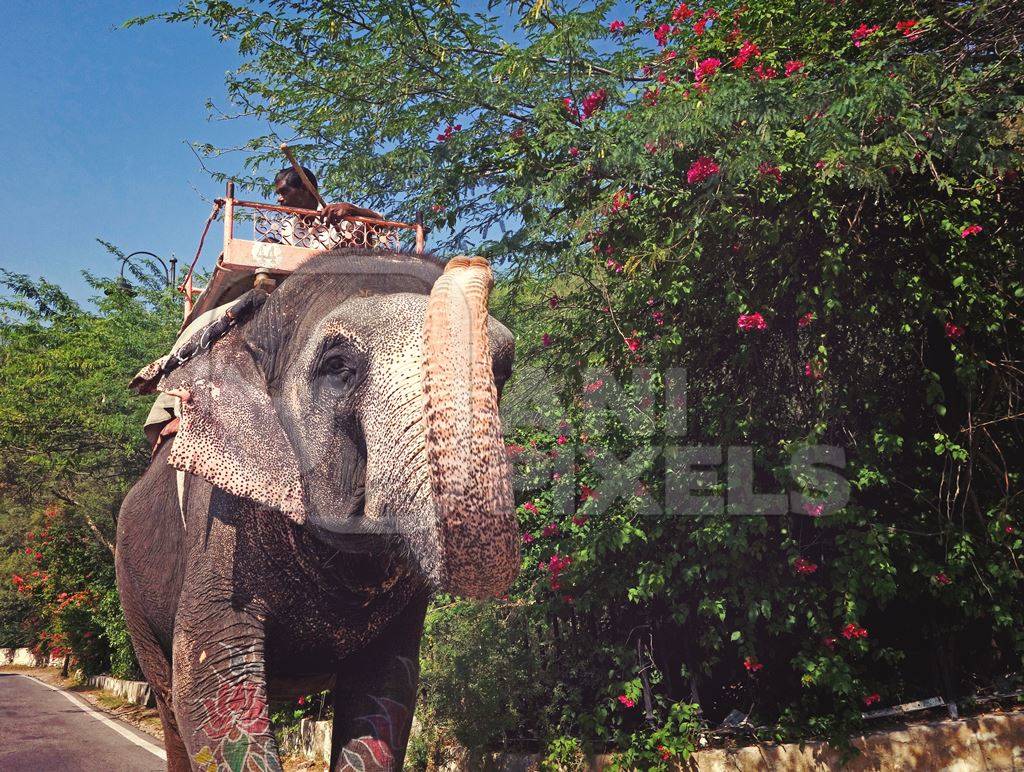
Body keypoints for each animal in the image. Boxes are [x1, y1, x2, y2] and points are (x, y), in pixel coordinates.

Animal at [117, 249, 520, 765]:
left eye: (501, 369)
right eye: (337, 366)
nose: (470, 262)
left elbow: (386, 694)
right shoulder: (219, 527)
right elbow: (210, 685)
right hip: (134, 593)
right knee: (168, 700)